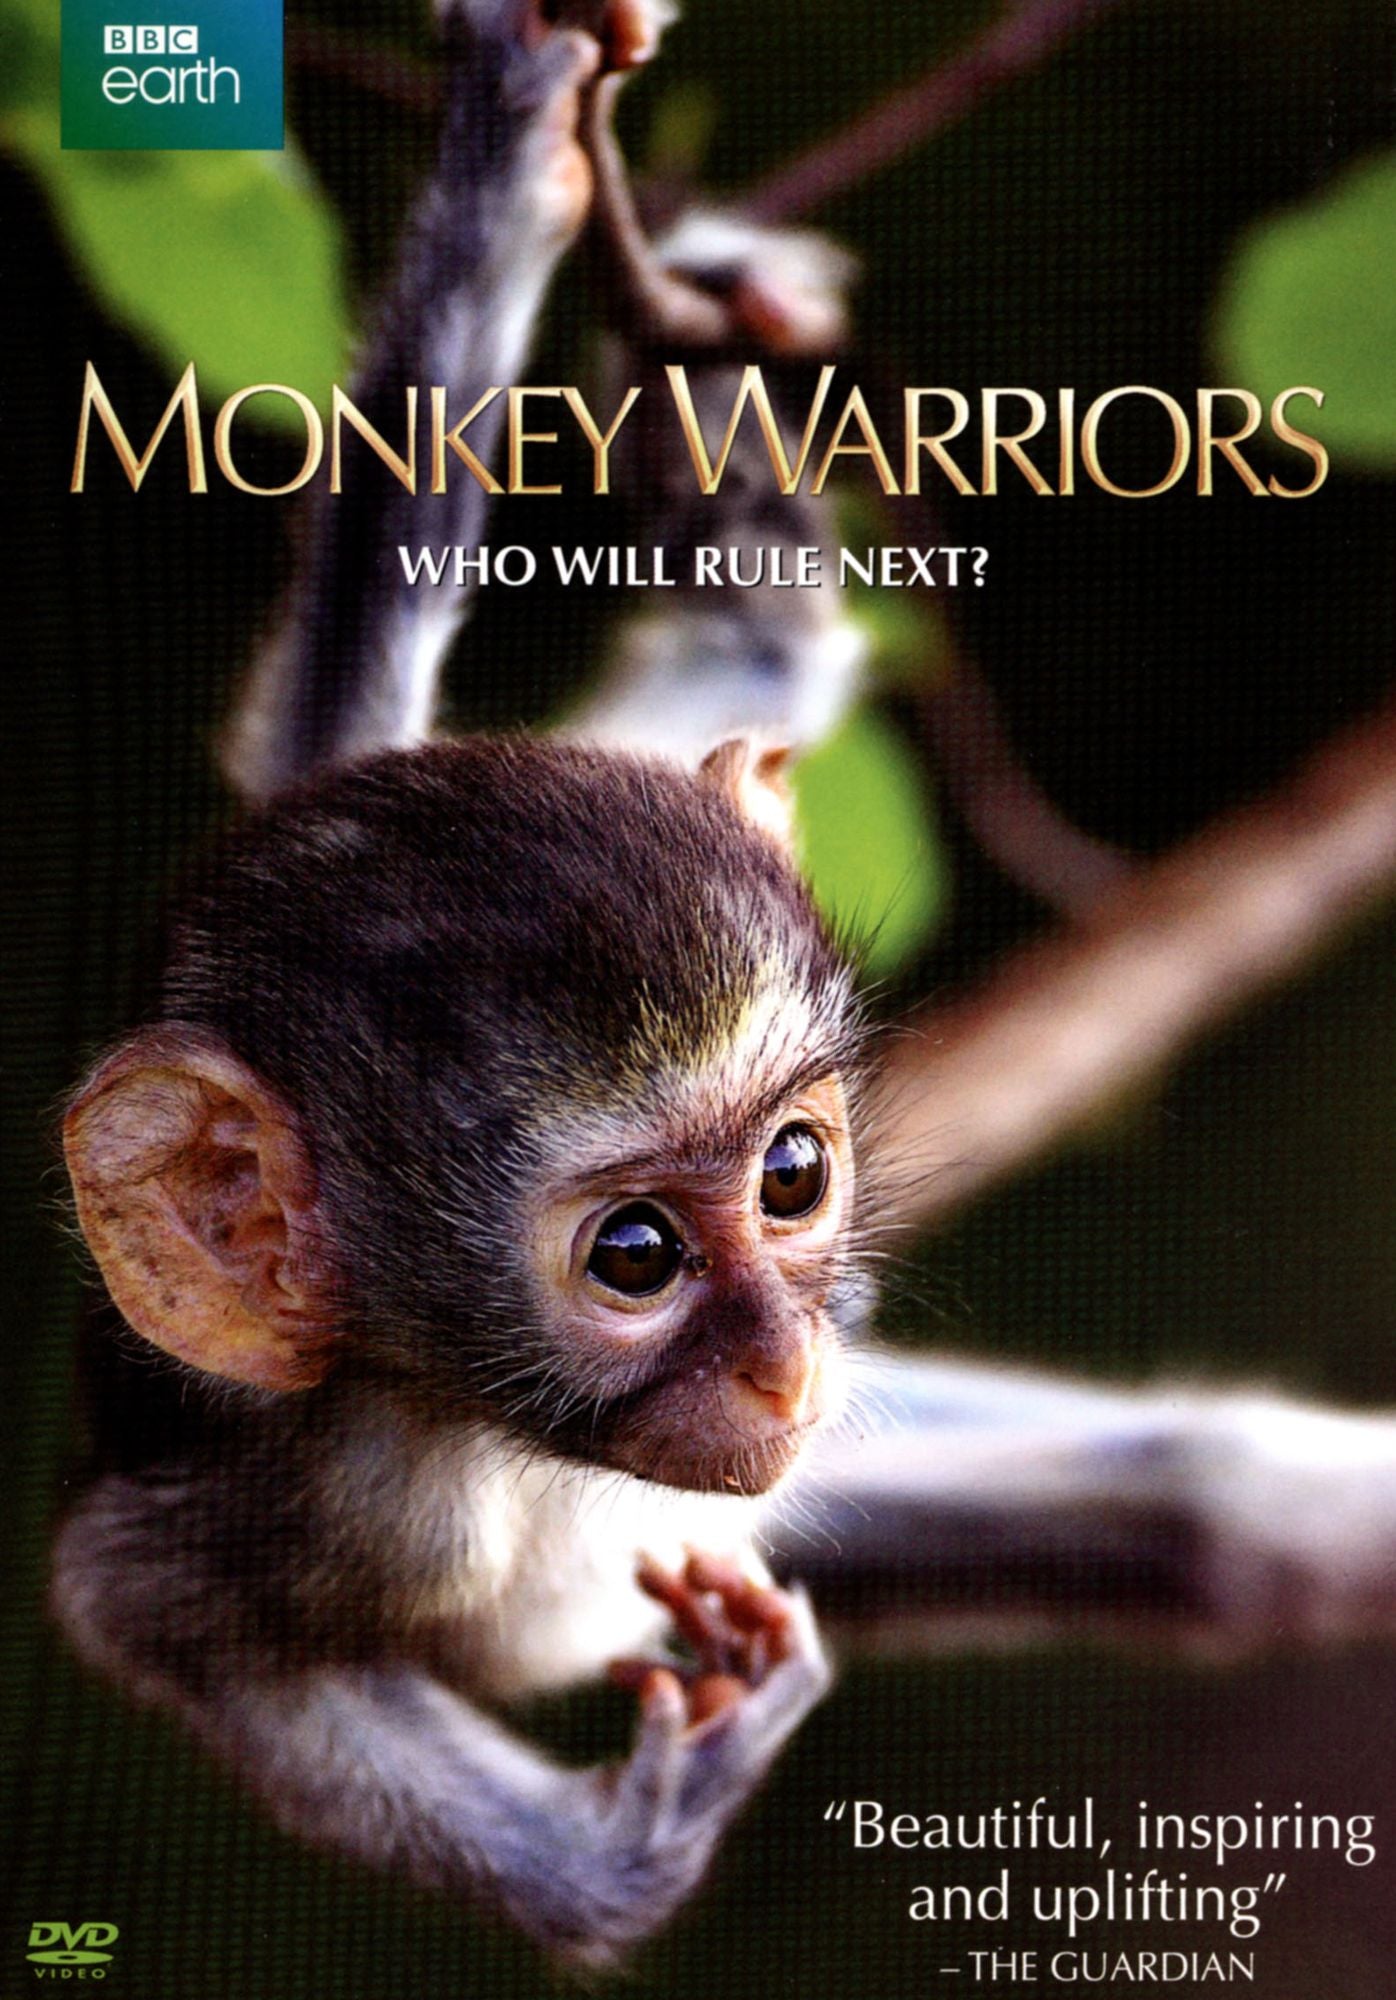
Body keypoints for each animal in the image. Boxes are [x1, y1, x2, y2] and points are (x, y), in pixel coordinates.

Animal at [53, 0, 1396, 1972]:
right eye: (633, 1257)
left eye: (794, 1175)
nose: (781, 1369)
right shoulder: (323, 1499)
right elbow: (126, 1606)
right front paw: (641, 1836)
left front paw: (519, 145)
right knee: (1197, 1520)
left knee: (1204, 1504)